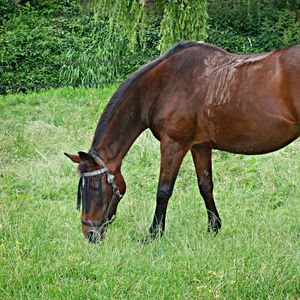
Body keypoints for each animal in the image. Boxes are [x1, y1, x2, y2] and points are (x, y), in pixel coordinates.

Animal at [64, 41, 298, 243]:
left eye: (94, 186)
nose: (90, 233)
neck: (160, 87)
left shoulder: (173, 145)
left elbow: (163, 190)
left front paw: (154, 234)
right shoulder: (200, 146)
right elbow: (205, 186)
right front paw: (213, 228)